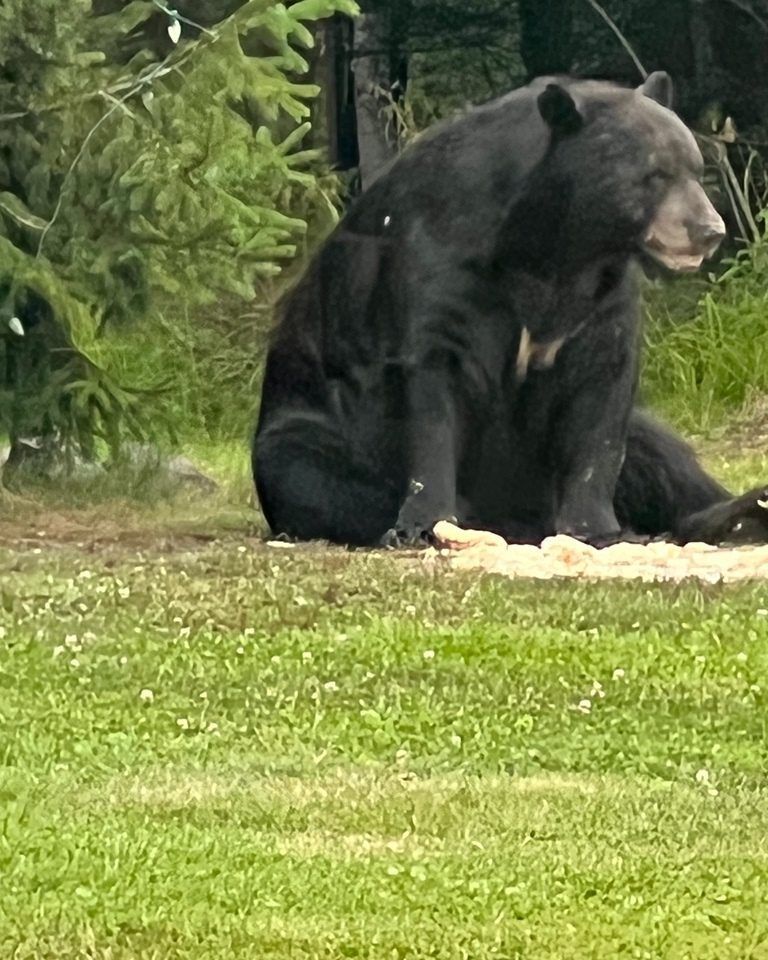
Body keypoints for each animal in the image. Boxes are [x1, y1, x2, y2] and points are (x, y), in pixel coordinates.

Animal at [253, 71, 768, 548]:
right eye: (654, 175)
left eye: (694, 169)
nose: (709, 230)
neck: (551, 246)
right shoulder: (442, 261)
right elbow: (432, 386)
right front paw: (424, 523)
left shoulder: (601, 294)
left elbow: (601, 398)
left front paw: (597, 528)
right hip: (311, 430)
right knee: (308, 474)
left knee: (661, 452)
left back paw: (740, 510)